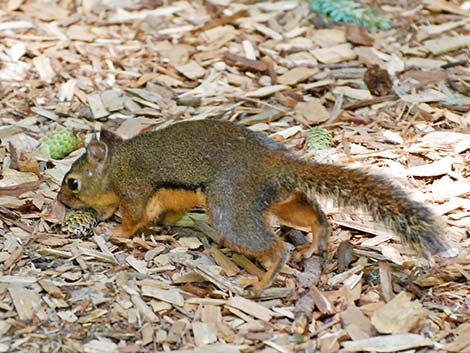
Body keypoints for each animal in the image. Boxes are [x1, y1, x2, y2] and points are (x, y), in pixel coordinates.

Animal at [57, 119, 452, 292]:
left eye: (72, 182)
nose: (61, 199)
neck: (117, 164)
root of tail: (275, 163)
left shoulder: (135, 189)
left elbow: (135, 216)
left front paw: (119, 231)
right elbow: (165, 214)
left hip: (231, 208)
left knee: (273, 246)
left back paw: (264, 280)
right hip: (276, 200)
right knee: (315, 215)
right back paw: (316, 242)